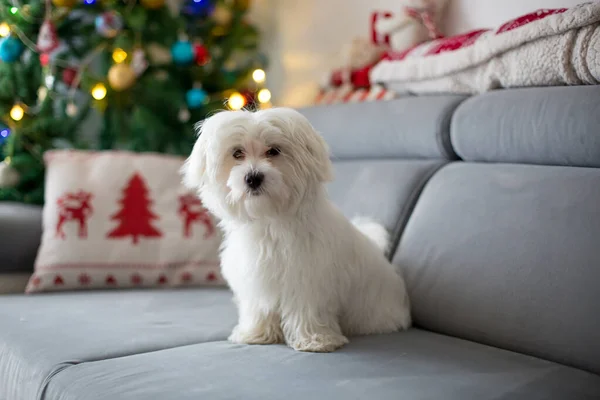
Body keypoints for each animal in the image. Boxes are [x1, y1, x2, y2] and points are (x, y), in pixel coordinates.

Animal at [180, 108, 410, 352]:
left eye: (274, 151)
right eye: (237, 153)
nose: (253, 177)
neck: (270, 220)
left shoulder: (308, 278)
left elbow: (307, 308)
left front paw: (315, 340)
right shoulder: (255, 277)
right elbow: (258, 307)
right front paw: (256, 333)